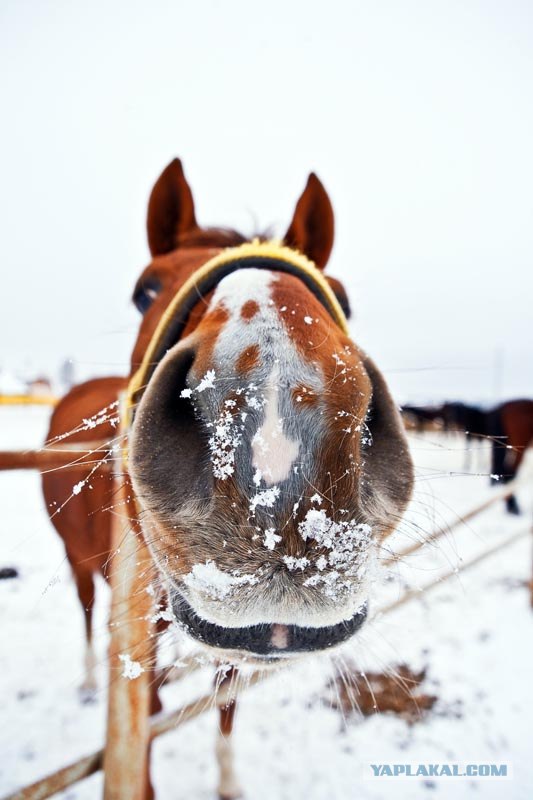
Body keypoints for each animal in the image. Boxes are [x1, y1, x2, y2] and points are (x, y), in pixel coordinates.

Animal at [42, 158, 416, 800]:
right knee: (87, 611)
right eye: (145, 290)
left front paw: (228, 781)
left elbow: (227, 700)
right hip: (78, 563)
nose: (276, 456)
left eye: (341, 297)